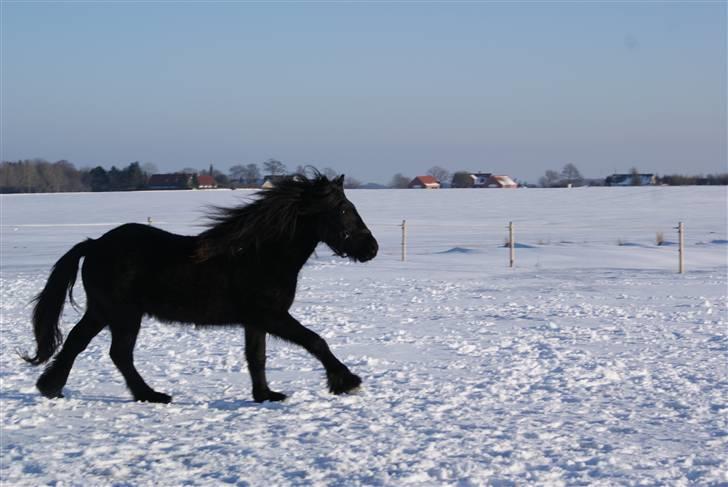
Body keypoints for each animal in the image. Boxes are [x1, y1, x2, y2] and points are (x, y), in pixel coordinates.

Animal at [23, 173, 378, 403]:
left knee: (78, 343)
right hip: (123, 314)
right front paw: (347, 381)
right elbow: (315, 341)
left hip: (103, 311)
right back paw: (151, 395)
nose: (371, 248)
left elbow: (257, 356)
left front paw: (265, 395)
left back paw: (51, 387)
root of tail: (95, 244)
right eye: (344, 209)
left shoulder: (256, 320)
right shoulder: (272, 315)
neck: (261, 254)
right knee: (117, 353)